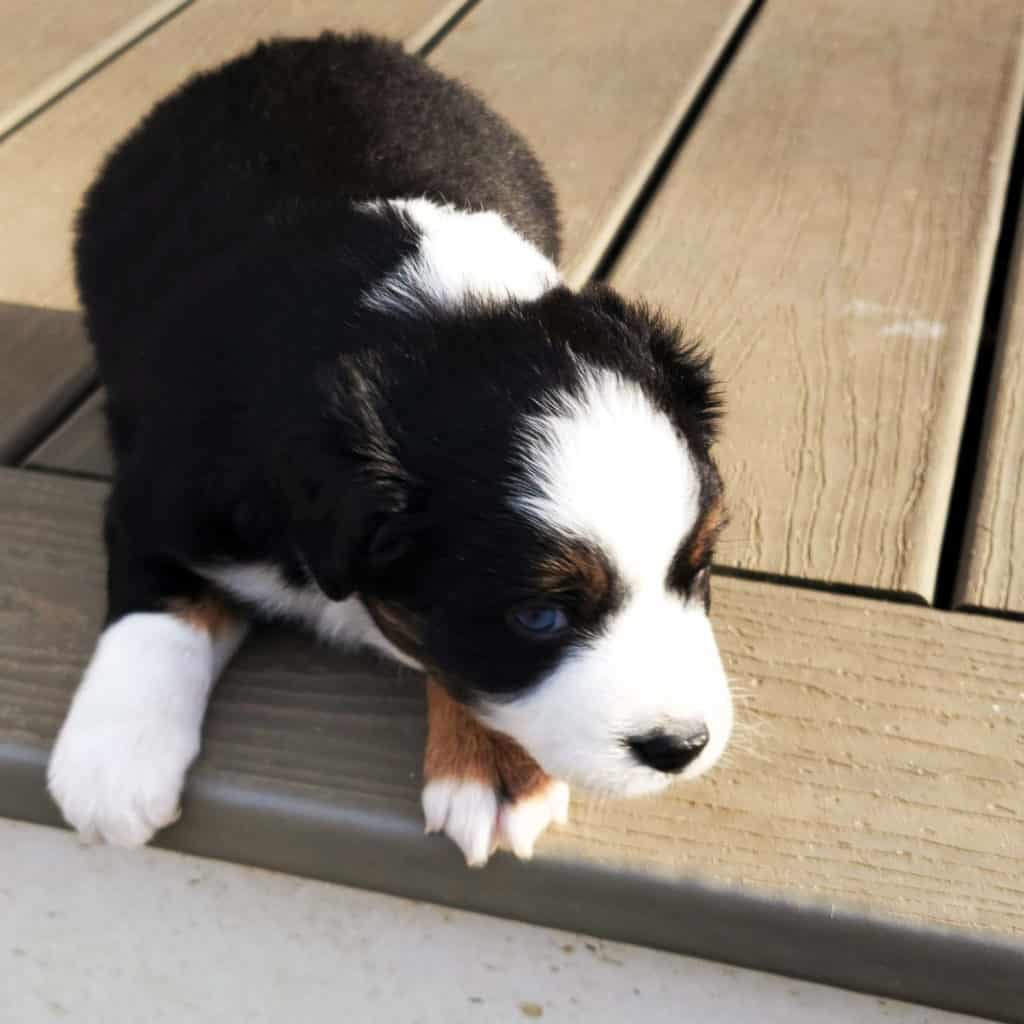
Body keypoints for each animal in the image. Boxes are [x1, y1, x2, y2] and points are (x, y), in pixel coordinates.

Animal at [48, 32, 733, 864]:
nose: (682, 746)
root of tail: (287, 47)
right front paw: (112, 763)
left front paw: (495, 770)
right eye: (540, 618)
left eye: (698, 568)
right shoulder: (162, 491)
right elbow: (155, 604)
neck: (424, 317)